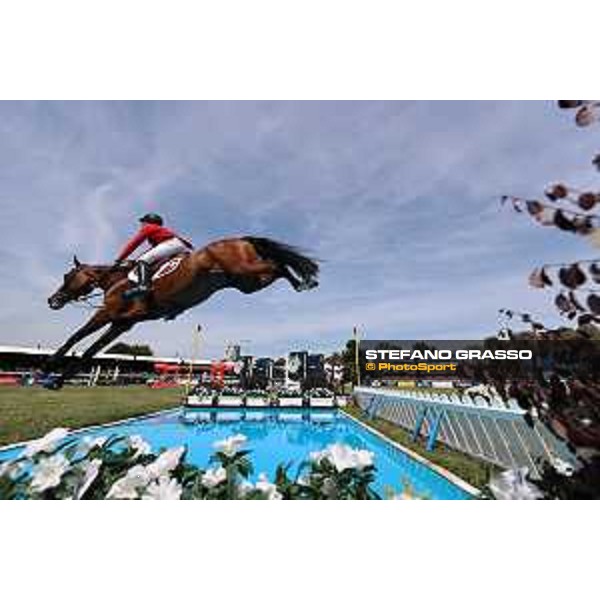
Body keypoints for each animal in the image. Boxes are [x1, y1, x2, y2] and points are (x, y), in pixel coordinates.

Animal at [43, 234, 318, 390]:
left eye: (67, 276)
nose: (52, 300)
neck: (116, 281)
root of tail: (241, 239)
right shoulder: (122, 323)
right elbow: (90, 351)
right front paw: (57, 379)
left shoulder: (107, 314)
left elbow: (76, 337)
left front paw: (48, 367)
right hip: (248, 283)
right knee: (277, 268)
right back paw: (303, 282)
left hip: (247, 270)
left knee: (277, 264)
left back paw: (305, 281)